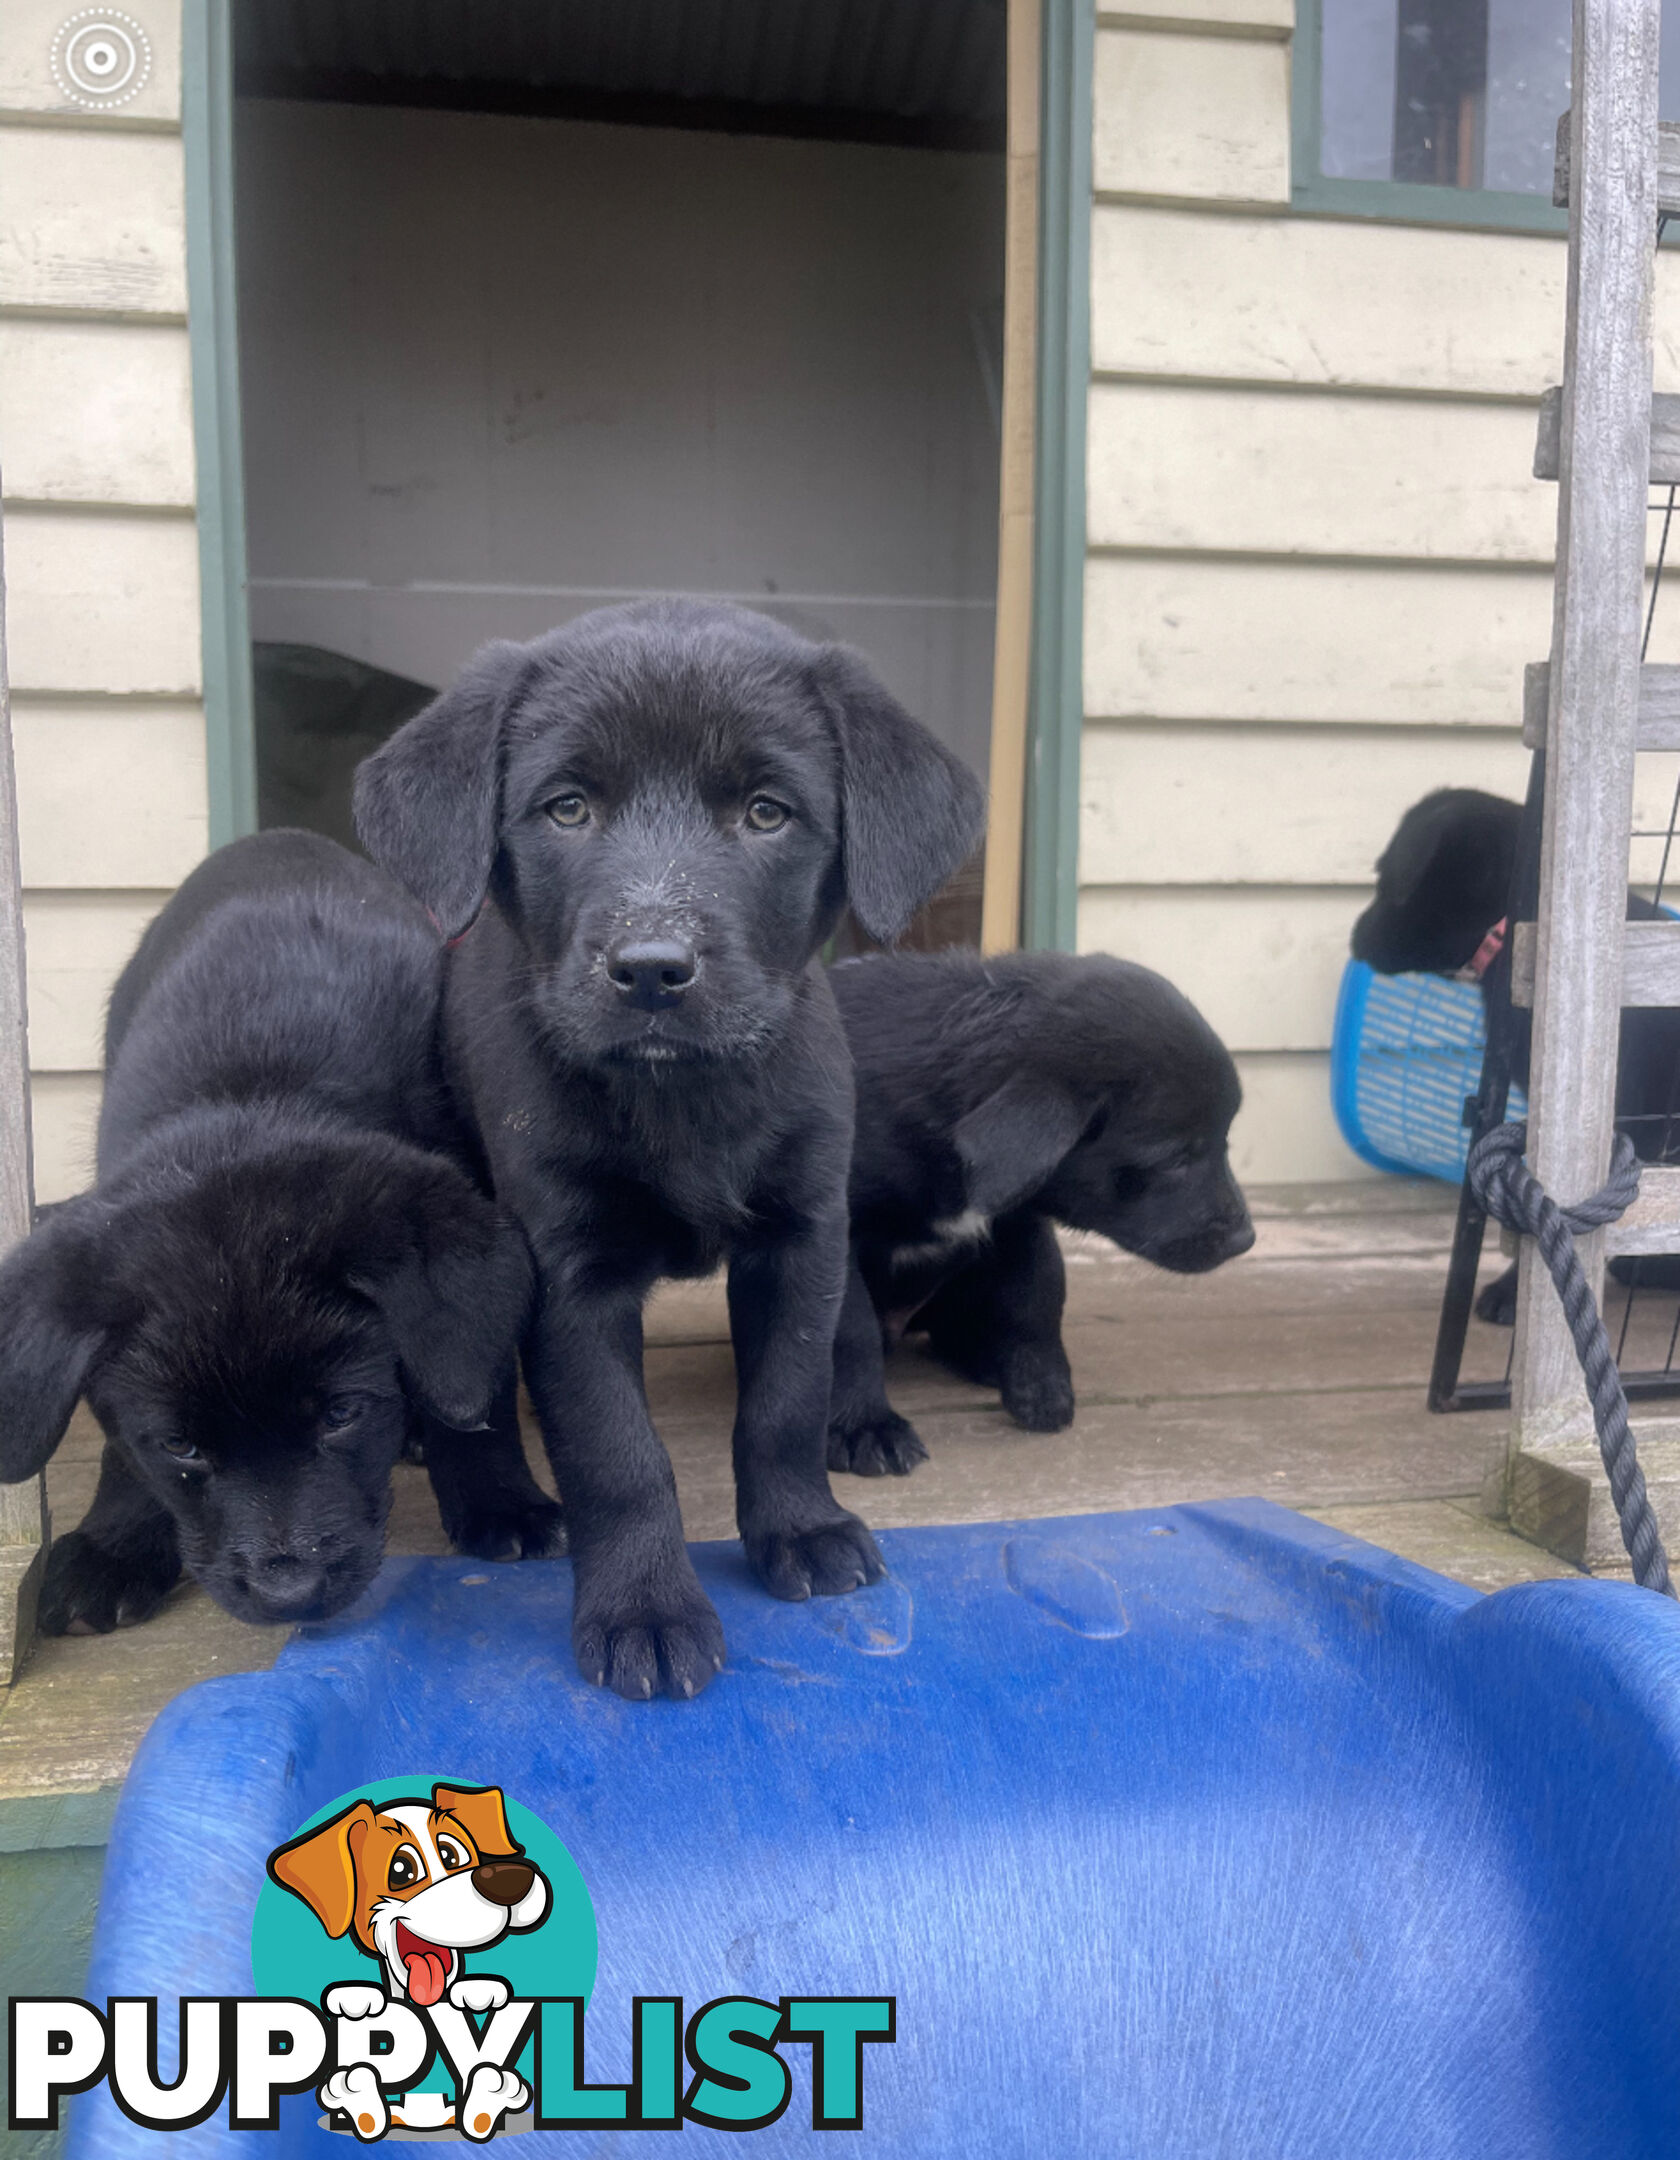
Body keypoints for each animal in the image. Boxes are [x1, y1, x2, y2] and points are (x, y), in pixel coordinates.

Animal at [0, 829, 557, 1632]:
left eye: (342, 1415)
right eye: (181, 1445)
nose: (287, 1595)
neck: (252, 1098)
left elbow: (473, 1387)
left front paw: (499, 1501)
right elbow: (121, 1448)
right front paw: (117, 1544)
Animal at [356, 596, 980, 1702]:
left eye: (767, 814)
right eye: (567, 809)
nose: (651, 969)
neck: (680, 1094)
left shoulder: (801, 1237)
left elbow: (785, 1399)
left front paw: (800, 1530)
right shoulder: (567, 1270)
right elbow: (617, 1453)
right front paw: (642, 1609)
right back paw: (496, 1505)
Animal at [816, 954, 1252, 1477]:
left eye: (1225, 1139)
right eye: (1174, 1159)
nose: (1246, 1239)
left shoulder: (1016, 1223)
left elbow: (1037, 1297)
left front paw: (1040, 1385)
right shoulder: (831, 1233)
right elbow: (849, 1330)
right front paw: (864, 1426)